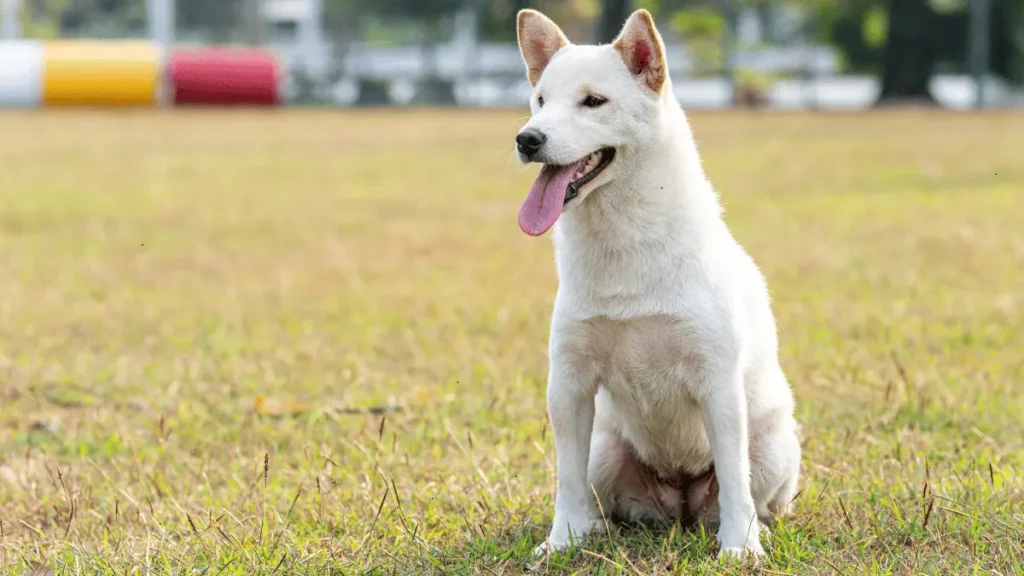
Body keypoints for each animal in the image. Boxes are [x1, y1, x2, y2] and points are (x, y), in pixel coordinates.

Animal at [516, 7, 802, 557]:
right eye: (540, 101)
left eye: (593, 101)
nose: (527, 139)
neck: (624, 245)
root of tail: (680, 500)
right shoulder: (569, 383)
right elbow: (565, 479)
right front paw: (561, 542)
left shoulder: (718, 381)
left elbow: (734, 480)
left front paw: (740, 548)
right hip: (605, 451)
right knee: (599, 498)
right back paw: (594, 530)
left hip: (774, 448)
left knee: (752, 496)